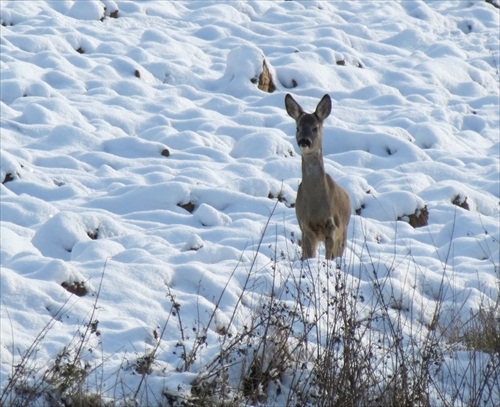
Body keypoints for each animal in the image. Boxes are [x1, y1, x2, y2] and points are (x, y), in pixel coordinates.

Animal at [286, 95, 352, 262]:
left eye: (315, 128)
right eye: (298, 128)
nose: (304, 141)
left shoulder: (333, 226)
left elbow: (329, 256)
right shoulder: (305, 226)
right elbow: (308, 256)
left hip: (344, 231)